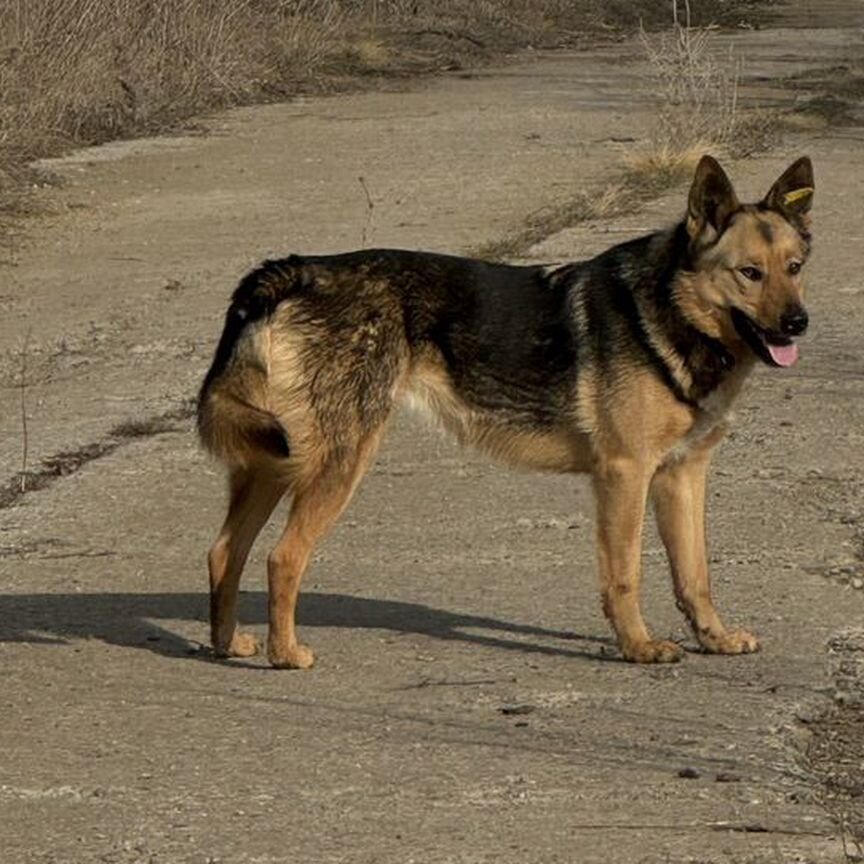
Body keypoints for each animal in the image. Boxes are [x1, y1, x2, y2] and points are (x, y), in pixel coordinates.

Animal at [199, 155, 812, 668]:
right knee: (282, 557)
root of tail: (295, 271)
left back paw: (229, 645)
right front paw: (637, 646)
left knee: (224, 552)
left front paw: (715, 638)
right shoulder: (625, 476)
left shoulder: (682, 477)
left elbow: (695, 575)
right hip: (336, 464)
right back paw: (286, 654)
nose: (798, 323)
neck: (669, 311)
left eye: (795, 266)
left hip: (276, 462)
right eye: (749, 273)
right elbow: (626, 575)